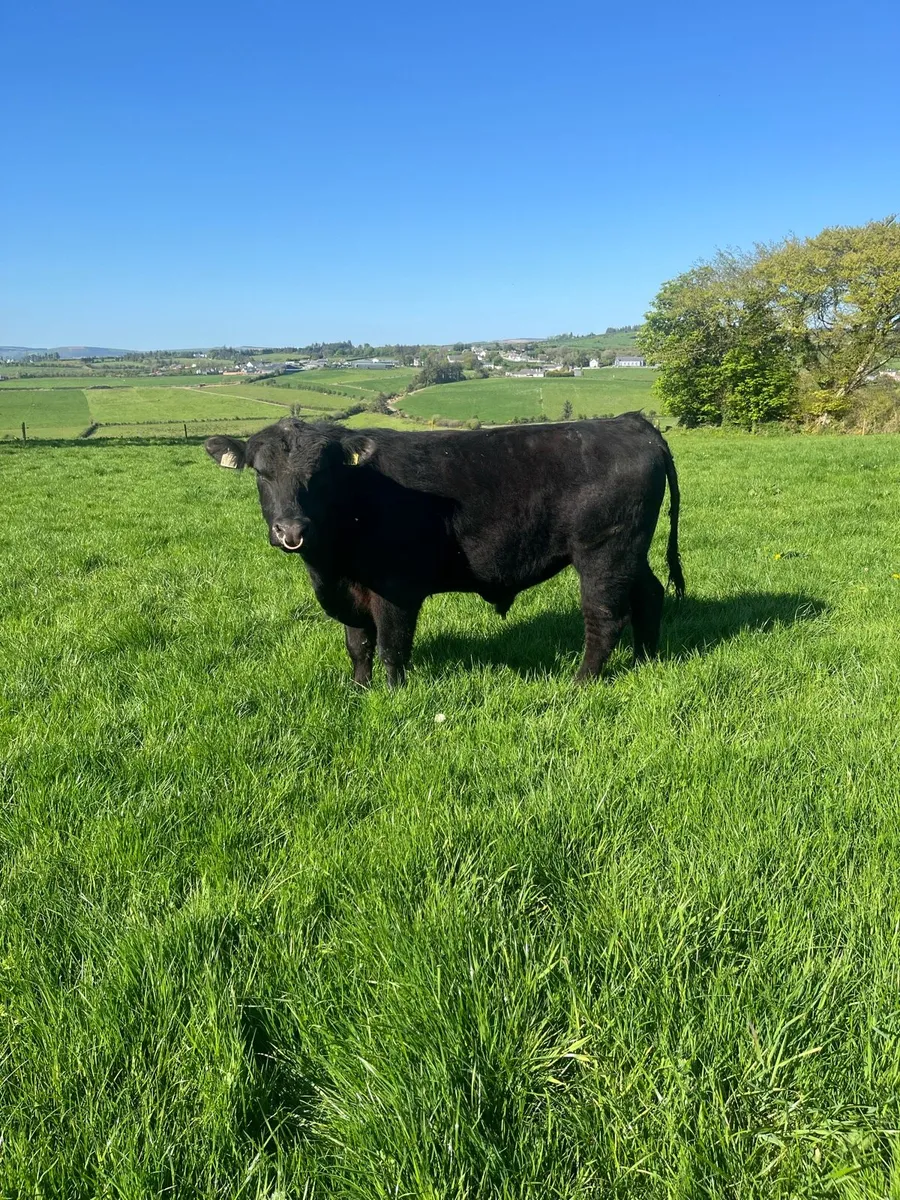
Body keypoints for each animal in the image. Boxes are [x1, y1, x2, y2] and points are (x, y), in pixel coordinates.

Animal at [205, 413, 684, 687]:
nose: (292, 529)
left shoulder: (396, 589)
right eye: (261, 472)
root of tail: (630, 423)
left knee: (605, 617)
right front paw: (358, 690)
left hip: (604, 552)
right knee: (649, 595)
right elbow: (358, 645)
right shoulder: (351, 592)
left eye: (321, 473)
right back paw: (645, 658)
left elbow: (392, 646)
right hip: (631, 553)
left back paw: (581, 683)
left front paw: (393, 695)